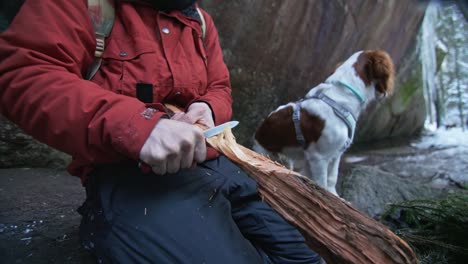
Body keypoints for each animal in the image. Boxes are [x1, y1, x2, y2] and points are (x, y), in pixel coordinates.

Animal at [254, 50, 394, 196]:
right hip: (264, 151)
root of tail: (259, 131)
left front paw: (335, 196)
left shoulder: (335, 154)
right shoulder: (318, 157)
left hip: (286, 160)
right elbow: (321, 183)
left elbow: (332, 178)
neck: (340, 99)